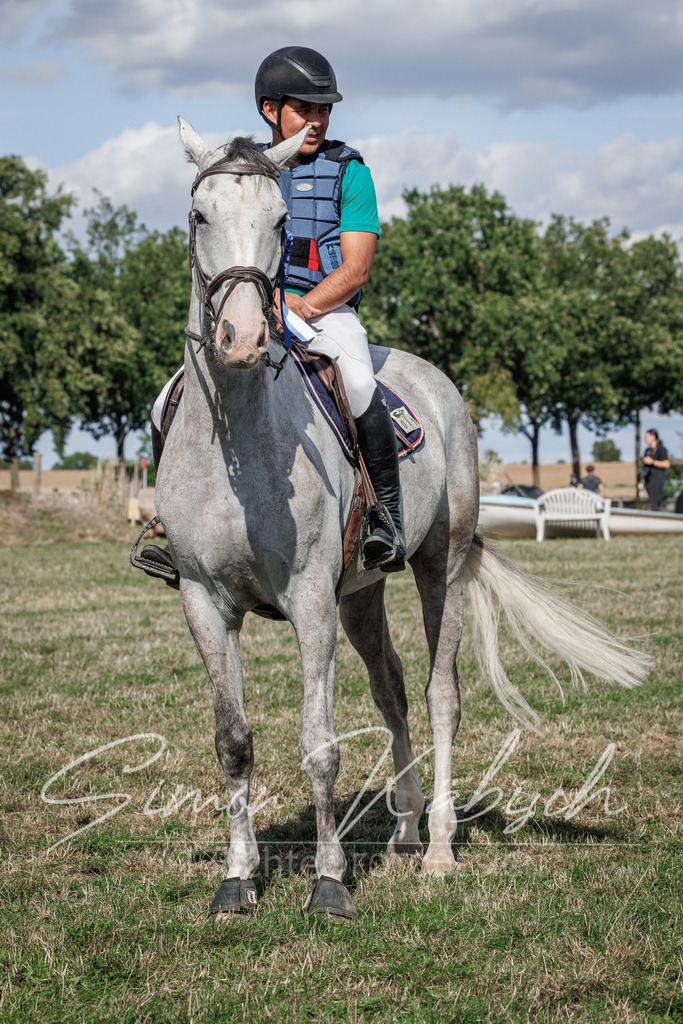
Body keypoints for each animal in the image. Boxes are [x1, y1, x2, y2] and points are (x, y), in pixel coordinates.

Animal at [154, 117, 650, 920]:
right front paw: (237, 880)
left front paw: (327, 884)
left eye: (281, 221)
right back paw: (407, 830)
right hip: (362, 593)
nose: (244, 339)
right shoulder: (205, 600)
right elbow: (233, 741)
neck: (239, 443)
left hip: (436, 566)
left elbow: (319, 743)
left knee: (440, 696)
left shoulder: (310, 601)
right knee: (391, 691)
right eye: (200, 216)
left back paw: (440, 849)